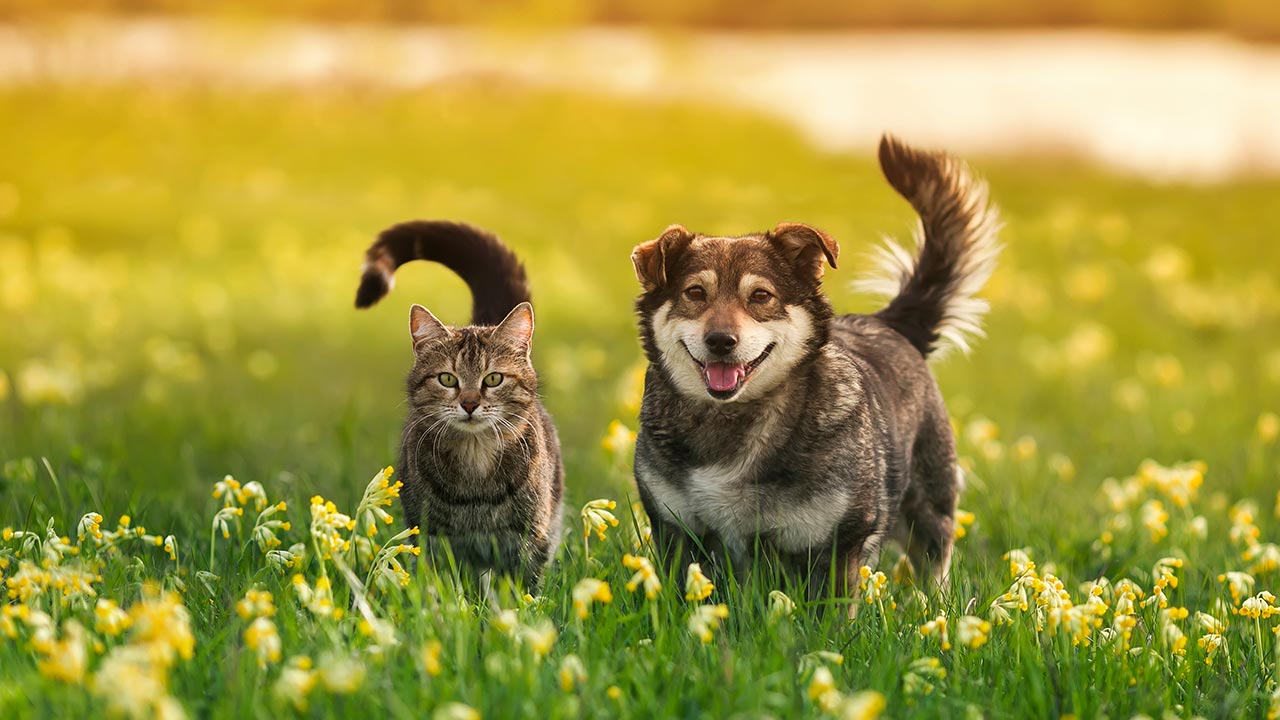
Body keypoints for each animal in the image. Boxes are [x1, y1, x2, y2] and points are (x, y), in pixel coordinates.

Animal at [355, 220, 565, 589]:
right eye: (447, 379)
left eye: (493, 379)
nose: (469, 404)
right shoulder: (431, 537)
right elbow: (440, 588)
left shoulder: (531, 537)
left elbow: (524, 590)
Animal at [629, 134, 998, 594]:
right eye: (695, 292)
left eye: (761, 296)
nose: (720, 341)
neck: (732, 420)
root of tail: (888, 322)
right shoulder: (676, 531)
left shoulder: (836, 544)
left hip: (930, 508)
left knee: (935, 567)